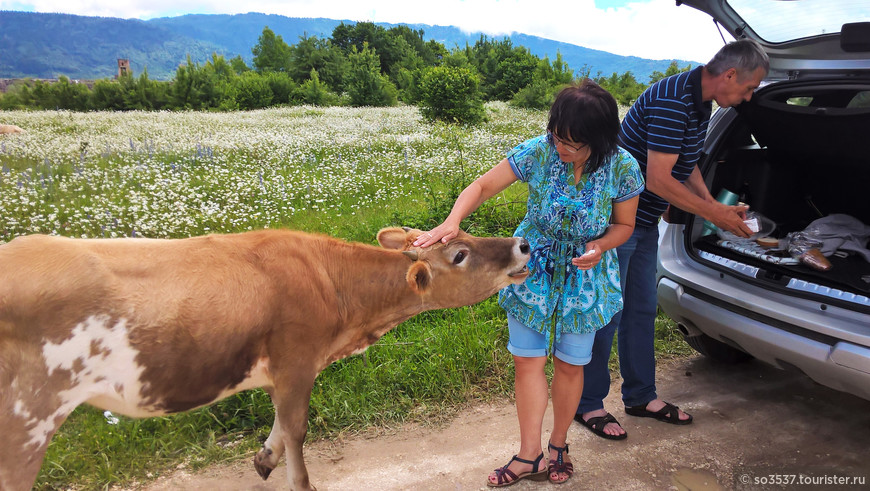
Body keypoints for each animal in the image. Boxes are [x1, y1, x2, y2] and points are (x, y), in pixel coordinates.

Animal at [0, 229, 532, 490]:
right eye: (460, 254)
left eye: (467, 234)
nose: (522, 244)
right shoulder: (296, 358)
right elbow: (297, 428)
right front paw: (298, 481)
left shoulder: (286, 369)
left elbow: (281, 423)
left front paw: (263, 458)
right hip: (26, 422)